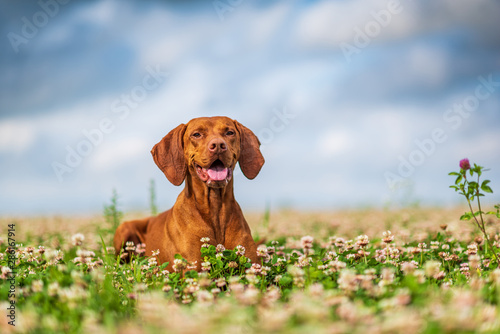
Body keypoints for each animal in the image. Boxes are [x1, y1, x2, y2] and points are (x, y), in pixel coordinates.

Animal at [112, 116, 264, 270]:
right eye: (196, 134)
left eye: (230, 132)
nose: (218, 145)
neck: (215, 209)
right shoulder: (195, 266)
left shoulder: (253, 265)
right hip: (123, 229)